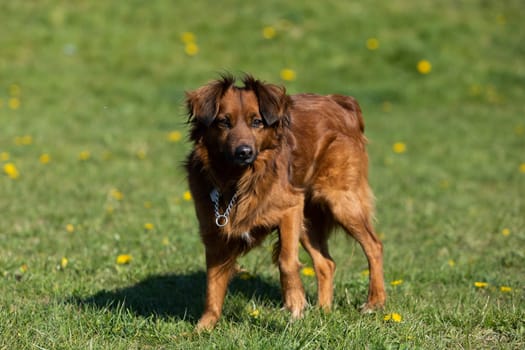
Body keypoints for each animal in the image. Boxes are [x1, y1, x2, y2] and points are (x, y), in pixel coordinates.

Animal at [184, 74, 384, 330]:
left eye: (257, 122)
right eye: (223, 122)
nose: (244, 152)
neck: (237, 182)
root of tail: (341, 102)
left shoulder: (290, 209)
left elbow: (286, 262)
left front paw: (295, 307)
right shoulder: (216, 234)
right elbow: (213, 284)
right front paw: (203, 327)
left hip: (340, 202)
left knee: (373, 246)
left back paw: (374, 302)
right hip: (309, 220)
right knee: (326, 263)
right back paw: (323, 311)